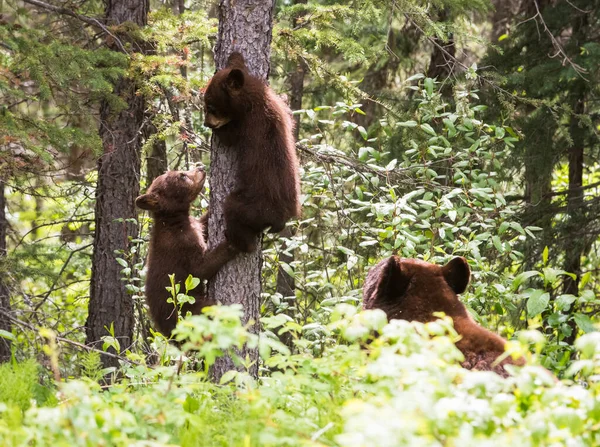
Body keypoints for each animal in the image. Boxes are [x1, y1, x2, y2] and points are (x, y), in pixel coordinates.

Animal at [136, 167, 237, 336]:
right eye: (182, 175)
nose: (201, 167)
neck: (173, 221)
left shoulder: (195, 226)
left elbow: (203, 224)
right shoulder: (181, 244)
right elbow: (200, 268)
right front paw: (235, 241)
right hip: (191, 309)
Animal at [204, 52, 302, 254]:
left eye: (211, 107)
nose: (206, 123)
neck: (254, 99)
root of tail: (283, 217)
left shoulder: (248, 123)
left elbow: (230, 137)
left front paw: (219, 130)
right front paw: (235, 56)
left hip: (254, 208)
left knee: (232, 209)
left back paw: (237, 241)